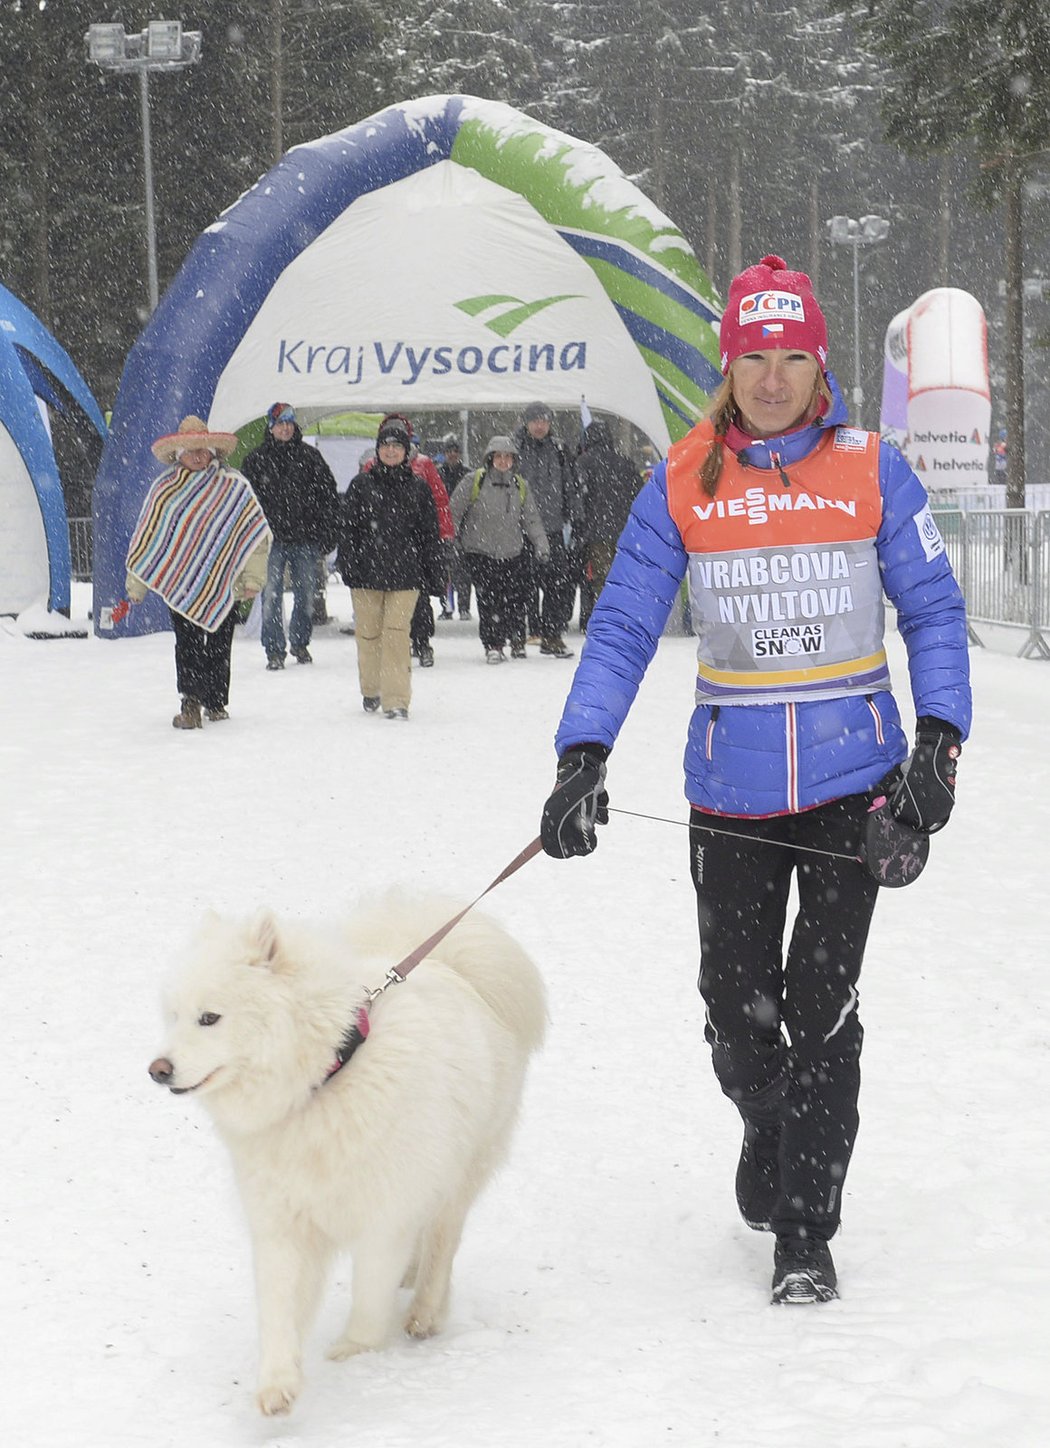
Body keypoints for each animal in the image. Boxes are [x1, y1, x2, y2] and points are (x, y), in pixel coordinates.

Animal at [149, 891, 547, 1413]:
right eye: (173, 1016)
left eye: (209, 1018)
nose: (157, 1070)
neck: (325, 1080)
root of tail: (448, 961)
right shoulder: (282, 1223)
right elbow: (278, 1309)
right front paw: (277, 1384)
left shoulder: (384, 1216)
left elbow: (370, 1297)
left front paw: (354, 1354)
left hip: (461, 1171)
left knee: (443, 1243)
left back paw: (425, 1312)